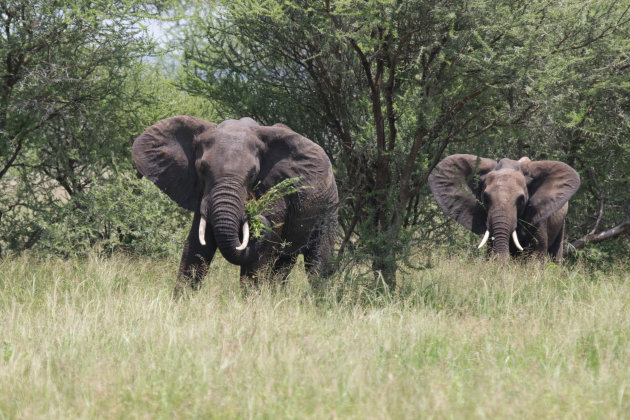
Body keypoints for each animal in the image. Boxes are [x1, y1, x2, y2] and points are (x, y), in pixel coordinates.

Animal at [133, 115, 340, 296]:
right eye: (202, 169)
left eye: (253, 174)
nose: (256, 215)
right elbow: (196, 249)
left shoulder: (276, 191)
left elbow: (259, 257)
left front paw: (251, 304)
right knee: (284, 263)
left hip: (329, 208)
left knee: (318, 264)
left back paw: (318, 302)